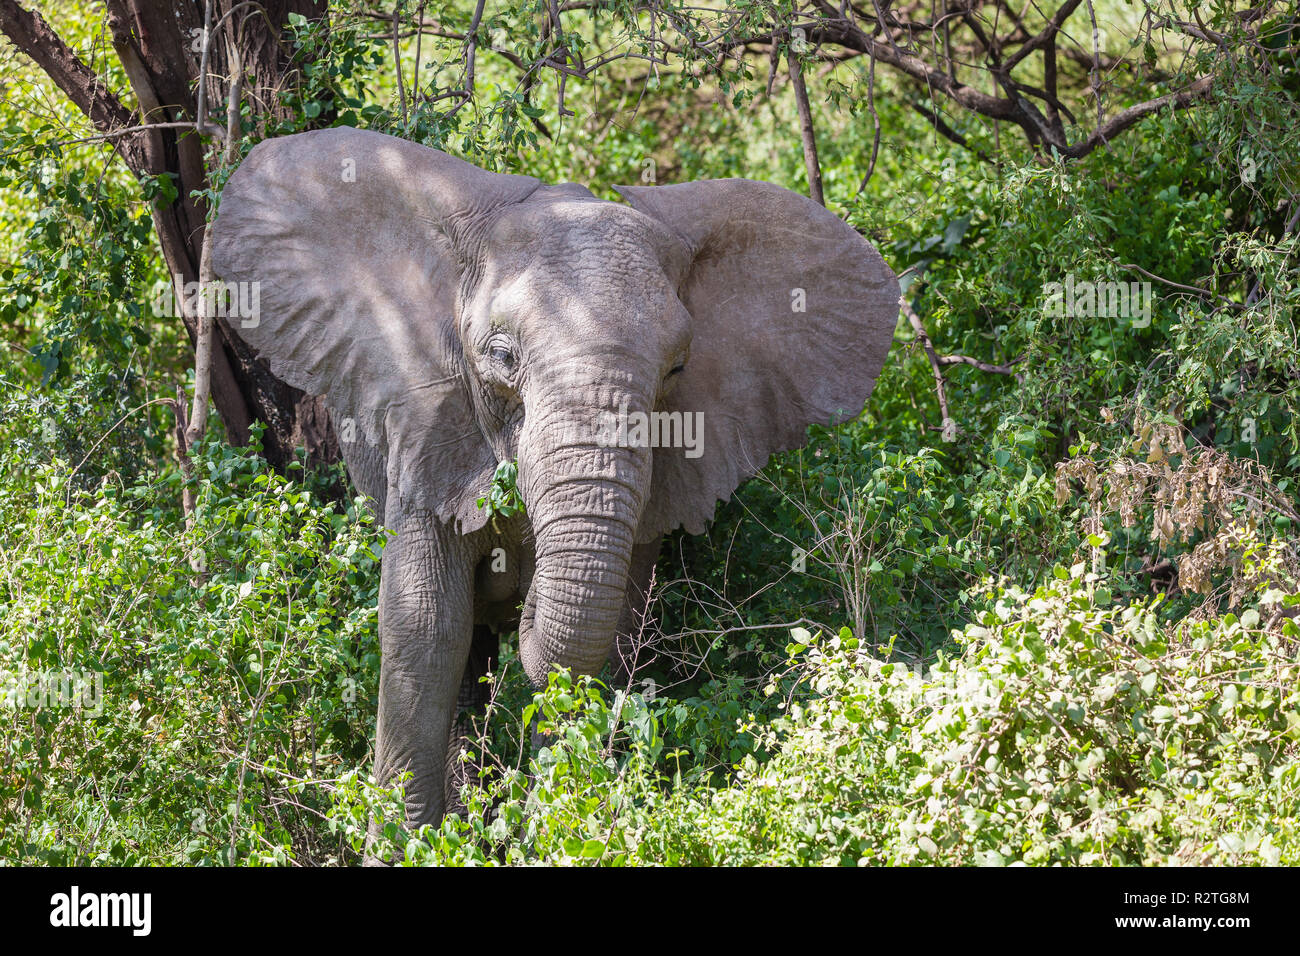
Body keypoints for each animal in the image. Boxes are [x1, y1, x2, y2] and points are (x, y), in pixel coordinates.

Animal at [210, 126, 899, 848]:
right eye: (501, 355)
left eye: (677, 368)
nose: (524, 582)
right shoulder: (426, 426)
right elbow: (425, 627)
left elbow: (610, 636)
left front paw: (563, 830)